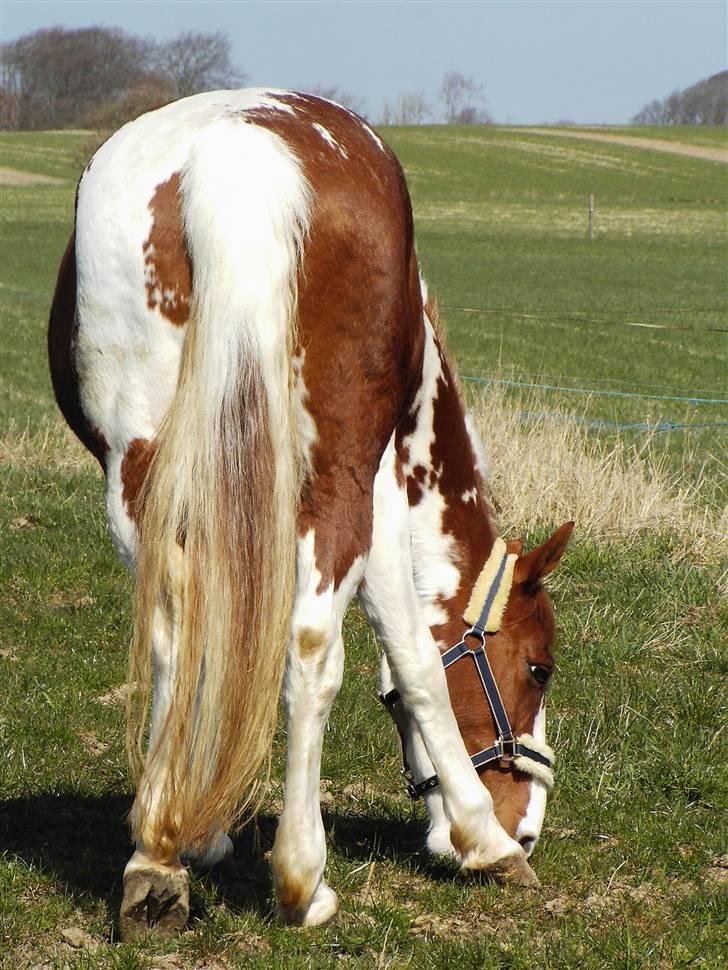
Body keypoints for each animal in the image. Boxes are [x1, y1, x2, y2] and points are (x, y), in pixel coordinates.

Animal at [47, 91, 576, 936]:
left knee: (171, 630)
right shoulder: (385, 495)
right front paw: (485, 841)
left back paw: (156, 859)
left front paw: (199, 834)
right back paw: (302, 879)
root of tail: (235, 156)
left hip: (141, 475)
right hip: (336, 483)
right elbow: (413, 656)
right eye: (538, 668)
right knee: (309, 649)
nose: (526, 824)